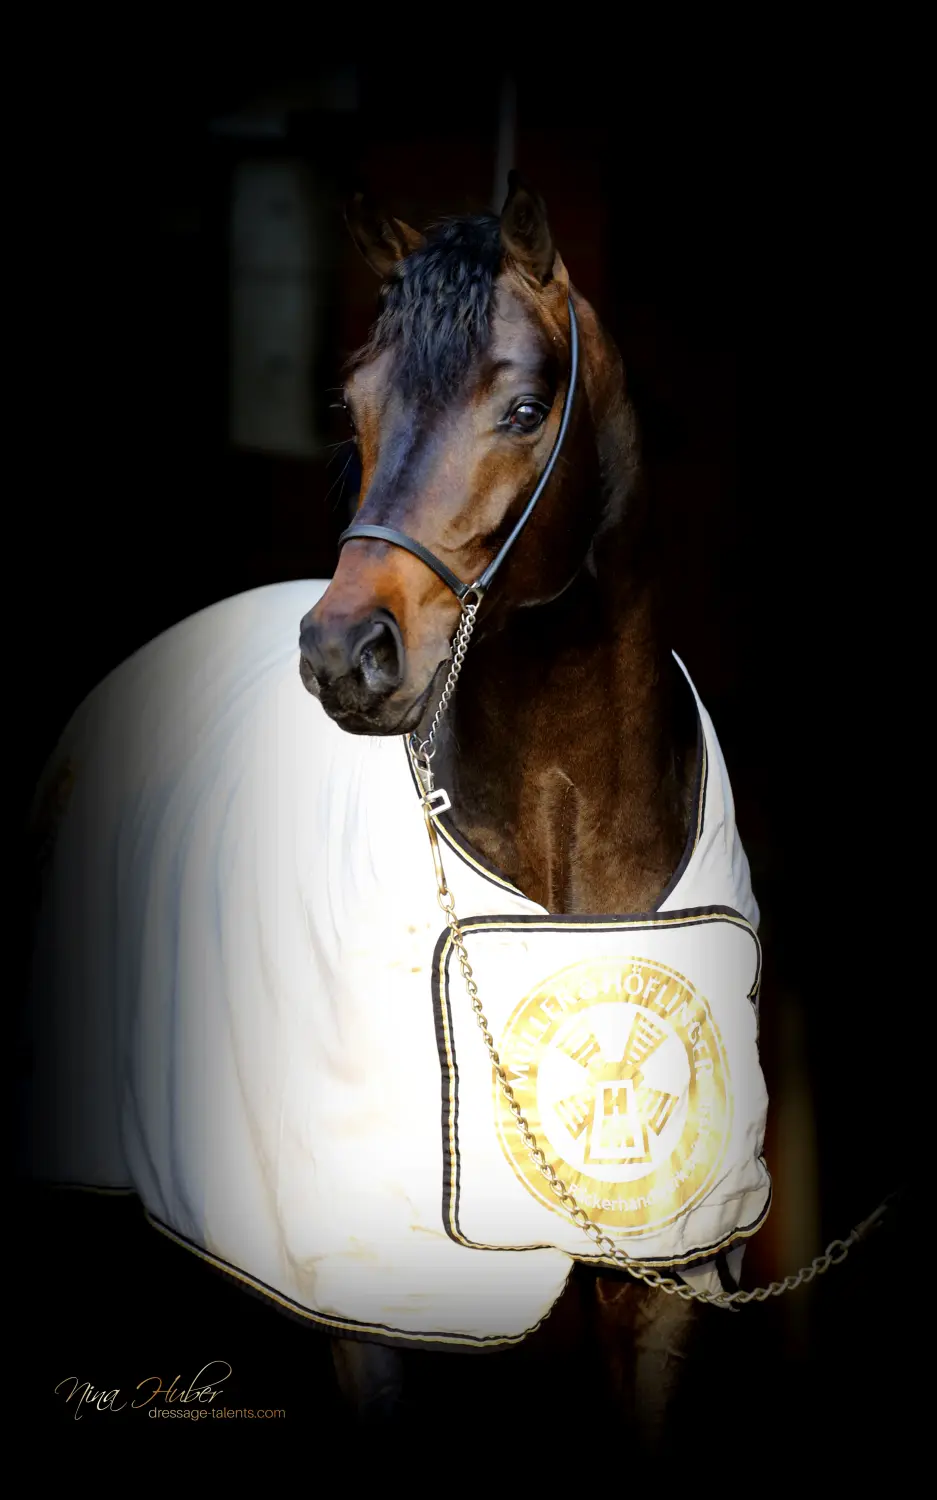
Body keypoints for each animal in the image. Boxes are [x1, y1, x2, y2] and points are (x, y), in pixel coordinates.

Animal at [20, 172, 768, 1458]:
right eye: (354, 402)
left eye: (523, 406)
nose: (343, 655)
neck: (567, 849)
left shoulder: (659, 1275)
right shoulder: (368, 1301)